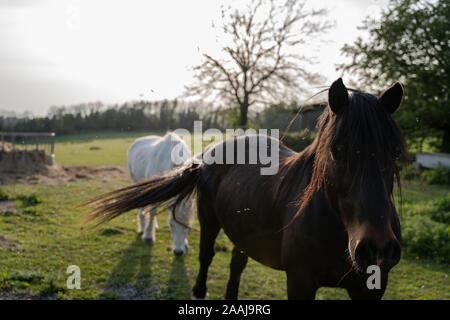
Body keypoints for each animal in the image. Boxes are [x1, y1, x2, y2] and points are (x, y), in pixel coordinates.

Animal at [82, 79, 406, 298]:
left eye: (394, 152)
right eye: (337, 151)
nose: (377, 249)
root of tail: (211, 152)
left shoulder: (371, 288)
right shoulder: (300, 282)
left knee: (236, 264)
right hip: (209, 222)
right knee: (206, 257)